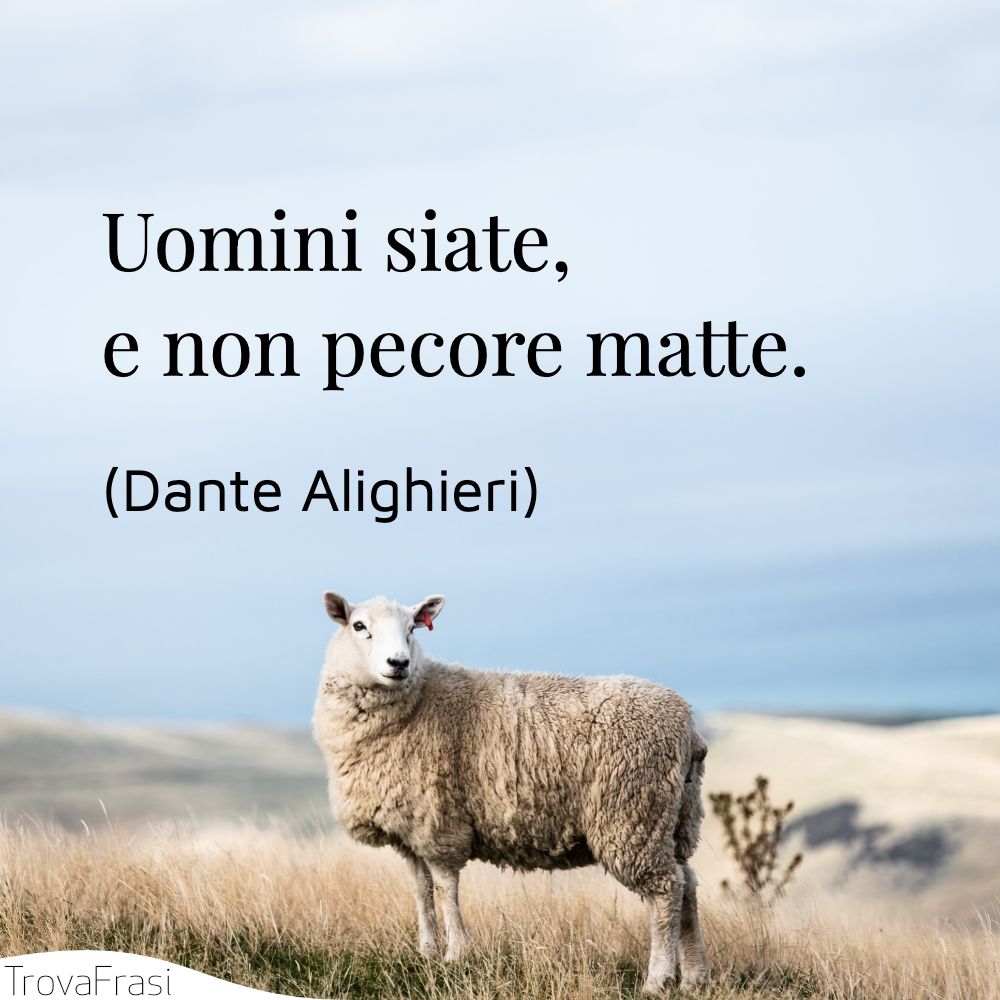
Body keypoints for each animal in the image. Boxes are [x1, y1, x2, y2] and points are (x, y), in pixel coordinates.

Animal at [312, 592, 710, 994]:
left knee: (665, 890)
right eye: (359, 626)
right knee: (687, 884)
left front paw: (457, 953)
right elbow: (420, 890)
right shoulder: (410, 829)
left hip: (632, 815)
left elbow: (445, 888)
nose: (399, 663)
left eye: (412, 628)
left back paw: (658, 979)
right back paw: (694, 977)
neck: (419, 700)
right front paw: (427, 951)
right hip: (674, 818)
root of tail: (688, 727)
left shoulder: (440, 824)